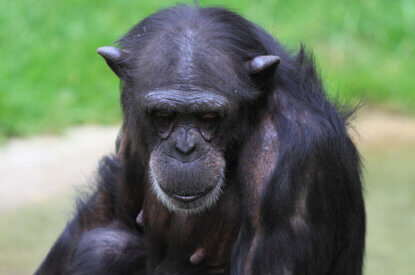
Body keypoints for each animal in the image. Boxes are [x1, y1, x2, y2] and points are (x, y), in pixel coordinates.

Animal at [36, 4, 368, 275]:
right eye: (164, 114)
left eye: (209, 117)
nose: (185, 148)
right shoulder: (133, 128)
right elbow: (109, 215)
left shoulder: (293, 159)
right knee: (106, 245)